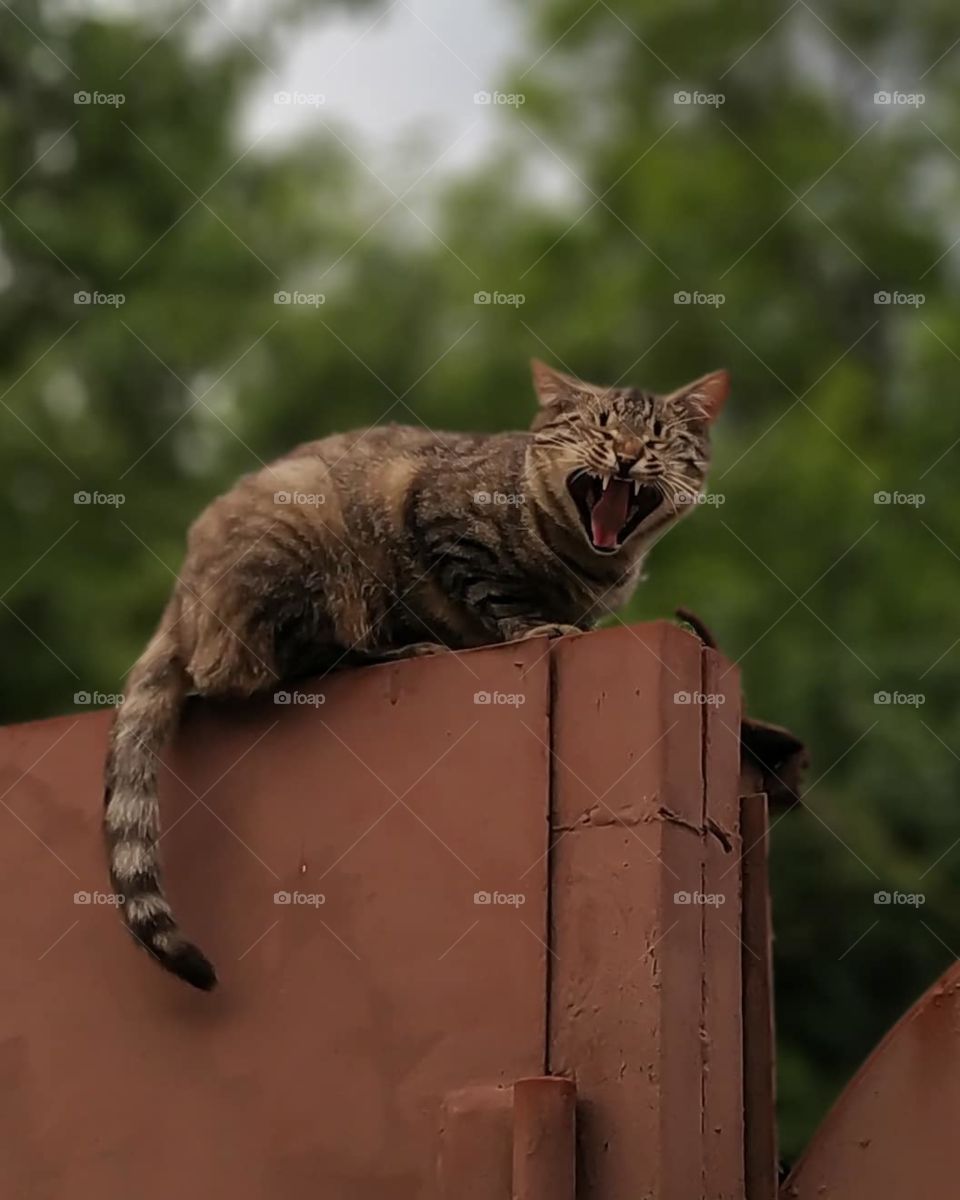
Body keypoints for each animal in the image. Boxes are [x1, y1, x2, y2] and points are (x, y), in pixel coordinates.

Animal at [103, 357, 729, 993]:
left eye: (657, 438)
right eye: (600, 427)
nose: (626, 454)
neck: (588, 562)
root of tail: (180, 598)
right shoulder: (439, 516)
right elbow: (491, 590)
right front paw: (533, 628)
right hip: (306, 544)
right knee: (263, 669)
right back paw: (394, 650)